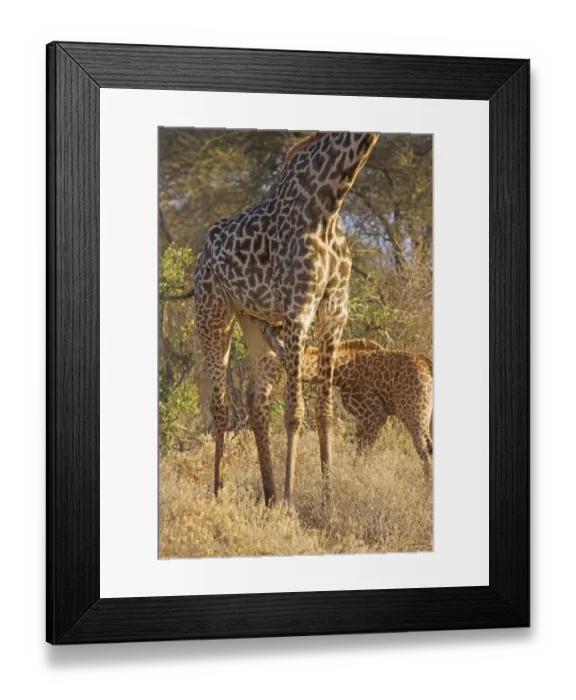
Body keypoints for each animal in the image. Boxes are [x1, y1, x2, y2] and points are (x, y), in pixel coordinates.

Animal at [194, 131, 379, 512]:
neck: (331, 196)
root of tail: (203, 256)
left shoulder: (334, 310)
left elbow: (325, 411)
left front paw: (328, 504)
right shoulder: (299, 309)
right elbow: (295, 412)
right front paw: (293, 505)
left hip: (254, 322)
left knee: (256, 399)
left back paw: (269, 495)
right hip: (213, 314)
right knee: (220, 405)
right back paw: (220, 493)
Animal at [260, 329, 433, 478]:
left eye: (277, 331)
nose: (264, 328)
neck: (341, 372)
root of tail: (428, 364)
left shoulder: (374, 415)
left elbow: (362, 453)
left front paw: (357, 479)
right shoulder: (362, 418)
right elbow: (359, 451)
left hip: (414, 415)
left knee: (425, 450)